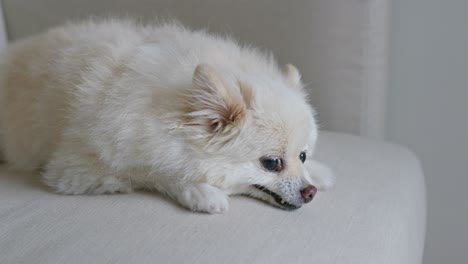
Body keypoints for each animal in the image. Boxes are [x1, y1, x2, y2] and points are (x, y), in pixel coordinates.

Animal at [0, 19, 332, 212]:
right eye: (272, 163)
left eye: (302, 156)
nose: (310, 192)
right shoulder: (74, 166)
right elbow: (153, 172)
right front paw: (199, 191)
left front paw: (319, 171)